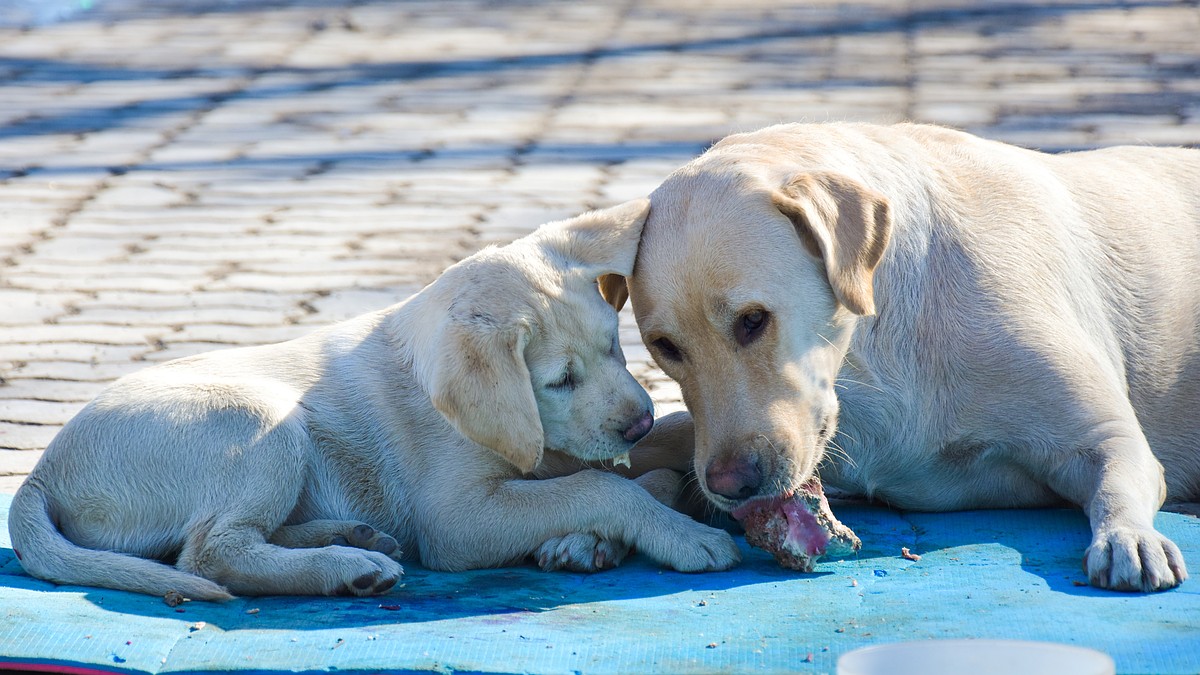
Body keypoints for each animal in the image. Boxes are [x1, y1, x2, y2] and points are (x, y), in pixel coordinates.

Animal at [11, 200, 739, 598]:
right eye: (559, 379)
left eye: (615, 346)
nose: (637, 422)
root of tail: (40, 474)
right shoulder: (458, 518)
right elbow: (601, 485)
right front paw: (684, 536)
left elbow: (653, 464)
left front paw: (589, 540)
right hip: (263, 420)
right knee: (210, 552)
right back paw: (350, 565)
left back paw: (352, 536)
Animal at [609, 123, 1200, 590]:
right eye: (665, 347)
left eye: (753, 320)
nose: (731, 485)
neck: (872, 355)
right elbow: (661, 444)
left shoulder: (1107, 438)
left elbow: (1114, 481)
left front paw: (1130, 537)